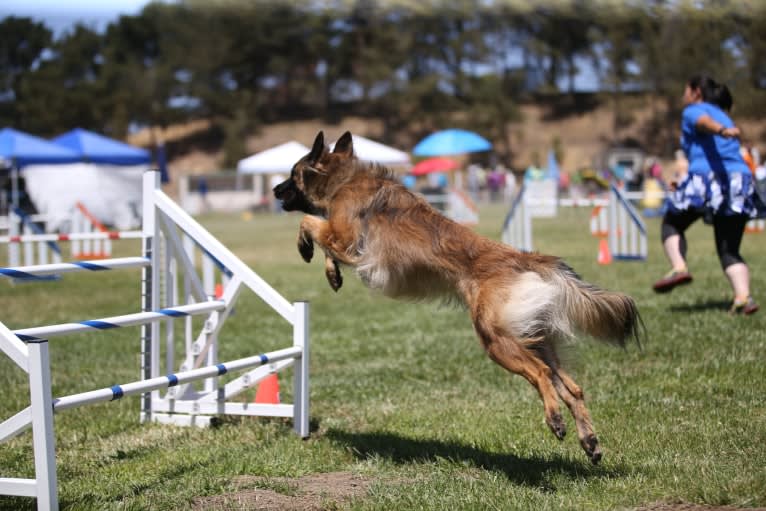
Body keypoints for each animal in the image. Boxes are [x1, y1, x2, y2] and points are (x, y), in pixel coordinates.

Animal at [276, 131, 640, 464]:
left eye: (292, 174)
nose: (275, 190)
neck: (343, 180)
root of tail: (524, 259)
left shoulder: (346, 240)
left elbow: (310, 223)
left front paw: (306, 248)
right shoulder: (344, 243)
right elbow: (324, 242)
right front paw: (332, 274)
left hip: (497, 340)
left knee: (539, 375)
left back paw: (556, 421)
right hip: (536, 338)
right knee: (570, 387)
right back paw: (589, 442)